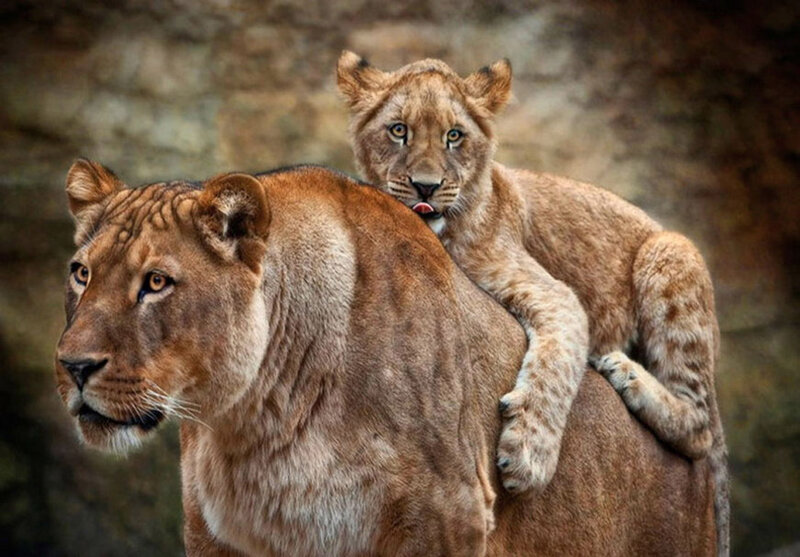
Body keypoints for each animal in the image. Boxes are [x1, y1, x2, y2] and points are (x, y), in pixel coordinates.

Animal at [55, 160, 715, 555]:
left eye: (157, 283)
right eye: (81, 273)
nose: (73, 367)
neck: (259, 421)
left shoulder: (448, 515)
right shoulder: (214, 534)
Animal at [336, 52, 729, 555]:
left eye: (454, 135)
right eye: (398, 130)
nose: (426, 187)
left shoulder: (554, 292)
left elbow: (556, 368)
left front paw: (526, 456)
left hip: (670, 252)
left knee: (699, 426)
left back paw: (625, 373)